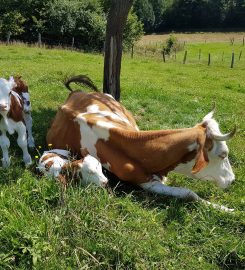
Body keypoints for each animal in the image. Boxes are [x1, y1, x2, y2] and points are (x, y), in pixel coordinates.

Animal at [46, 75, 235, 211]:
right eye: (223, 154)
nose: (232, 180)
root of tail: (76, 92)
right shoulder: (145, 182)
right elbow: (189, 193)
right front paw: (226, 209)